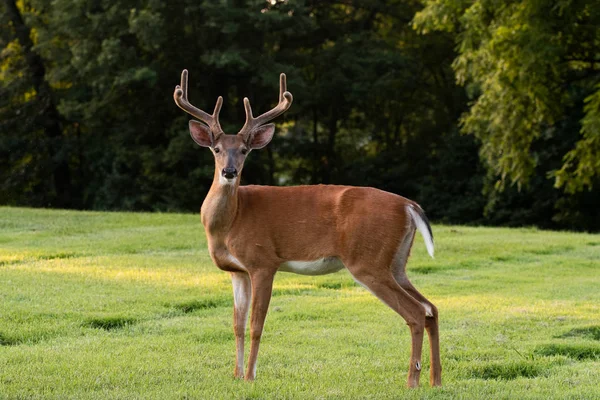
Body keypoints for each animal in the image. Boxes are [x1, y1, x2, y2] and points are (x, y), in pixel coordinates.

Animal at [173, 69, 440, 388]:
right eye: (216, 149)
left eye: (244, 150)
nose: (229, 171)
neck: (230, 222)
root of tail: (409, 206)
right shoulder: (237, 271)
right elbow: (236, 324)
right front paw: (235, 375)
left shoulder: (263, 262)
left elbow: (255, 324)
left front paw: (250, 376)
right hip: (396, 262)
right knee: (431, 308)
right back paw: (436, 380)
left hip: (368, 261)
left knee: (416, 312)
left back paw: (412, 381)